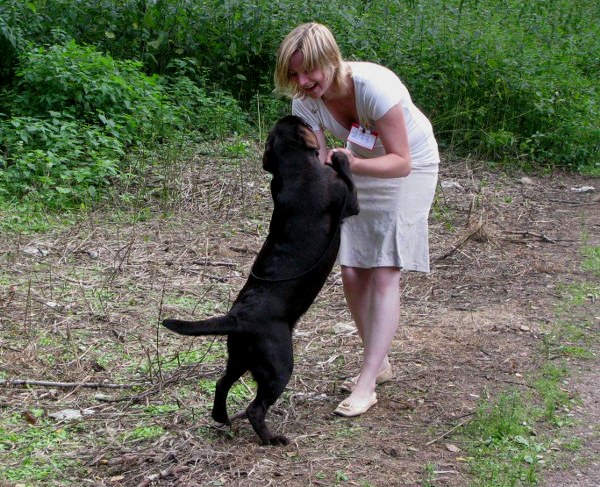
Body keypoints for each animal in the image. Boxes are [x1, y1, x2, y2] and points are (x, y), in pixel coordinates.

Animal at [161, 116, 356, 448]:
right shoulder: (349, 201)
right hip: (278, 366)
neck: (295, 167)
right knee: (256, 407)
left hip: (239, 357)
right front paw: (341, 157)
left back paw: (222, 418)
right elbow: (349, 179)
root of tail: (236, 317)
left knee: (221, 382)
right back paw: (272, 439)